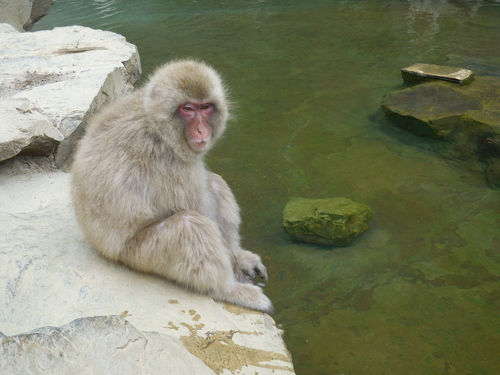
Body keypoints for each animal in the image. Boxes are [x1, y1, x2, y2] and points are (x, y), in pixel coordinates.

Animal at [72, 59, 272, 314]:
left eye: (205, 107)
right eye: (188, 109)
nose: (201, 129)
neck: (154, 122)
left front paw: (241, 259)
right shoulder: (168, 163)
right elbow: (198, 211)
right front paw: (234, 268)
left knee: (215, 183)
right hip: (138, 255)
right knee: (190, 225)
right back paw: (227, 290)